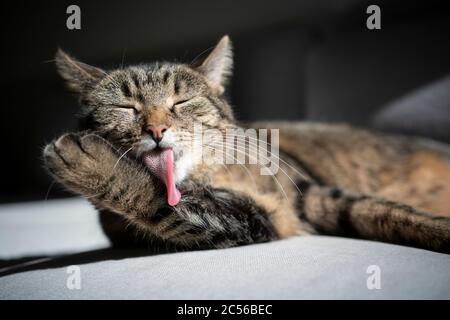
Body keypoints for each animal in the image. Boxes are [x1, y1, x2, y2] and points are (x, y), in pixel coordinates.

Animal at [42, 36, 450, 254]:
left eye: (181, 102)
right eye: (126, 107)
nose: (157, 129)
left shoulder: (308, 196)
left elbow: (391, 212)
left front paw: (92, 164)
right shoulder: (251, 220)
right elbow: (167, 207)